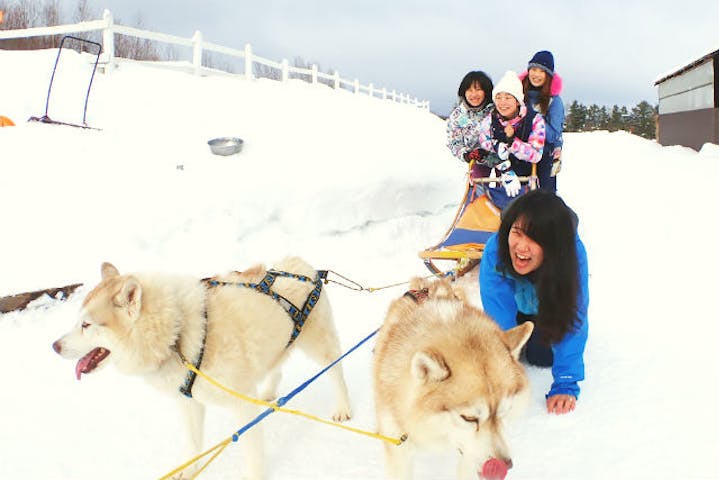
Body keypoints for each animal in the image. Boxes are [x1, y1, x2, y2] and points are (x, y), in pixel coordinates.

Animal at [52, 256, 352, 478]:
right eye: (77, 321)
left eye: (86, 324)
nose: (54, 346)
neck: (177, 335)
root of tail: (302, 265)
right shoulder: (189, 401)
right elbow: (193, 443)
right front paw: (188, 470)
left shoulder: (241, 402)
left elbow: (251, 450)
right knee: (275, 366)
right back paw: (267, 392)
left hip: (320, 345)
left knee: (336, 371)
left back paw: (343, 407)